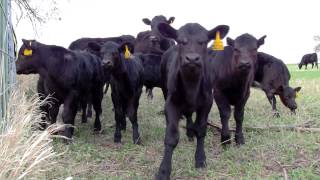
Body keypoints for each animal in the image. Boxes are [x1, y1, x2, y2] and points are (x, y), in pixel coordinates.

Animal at [156, 22, 229, 179]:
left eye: (203, 42)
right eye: (180, 41)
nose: (192, 59)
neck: (191, 87)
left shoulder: (207, 103)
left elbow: (201, 130)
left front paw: (200, 159)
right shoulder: (171, 103)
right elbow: (171, 137)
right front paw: (163, 171)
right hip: (165, 89)